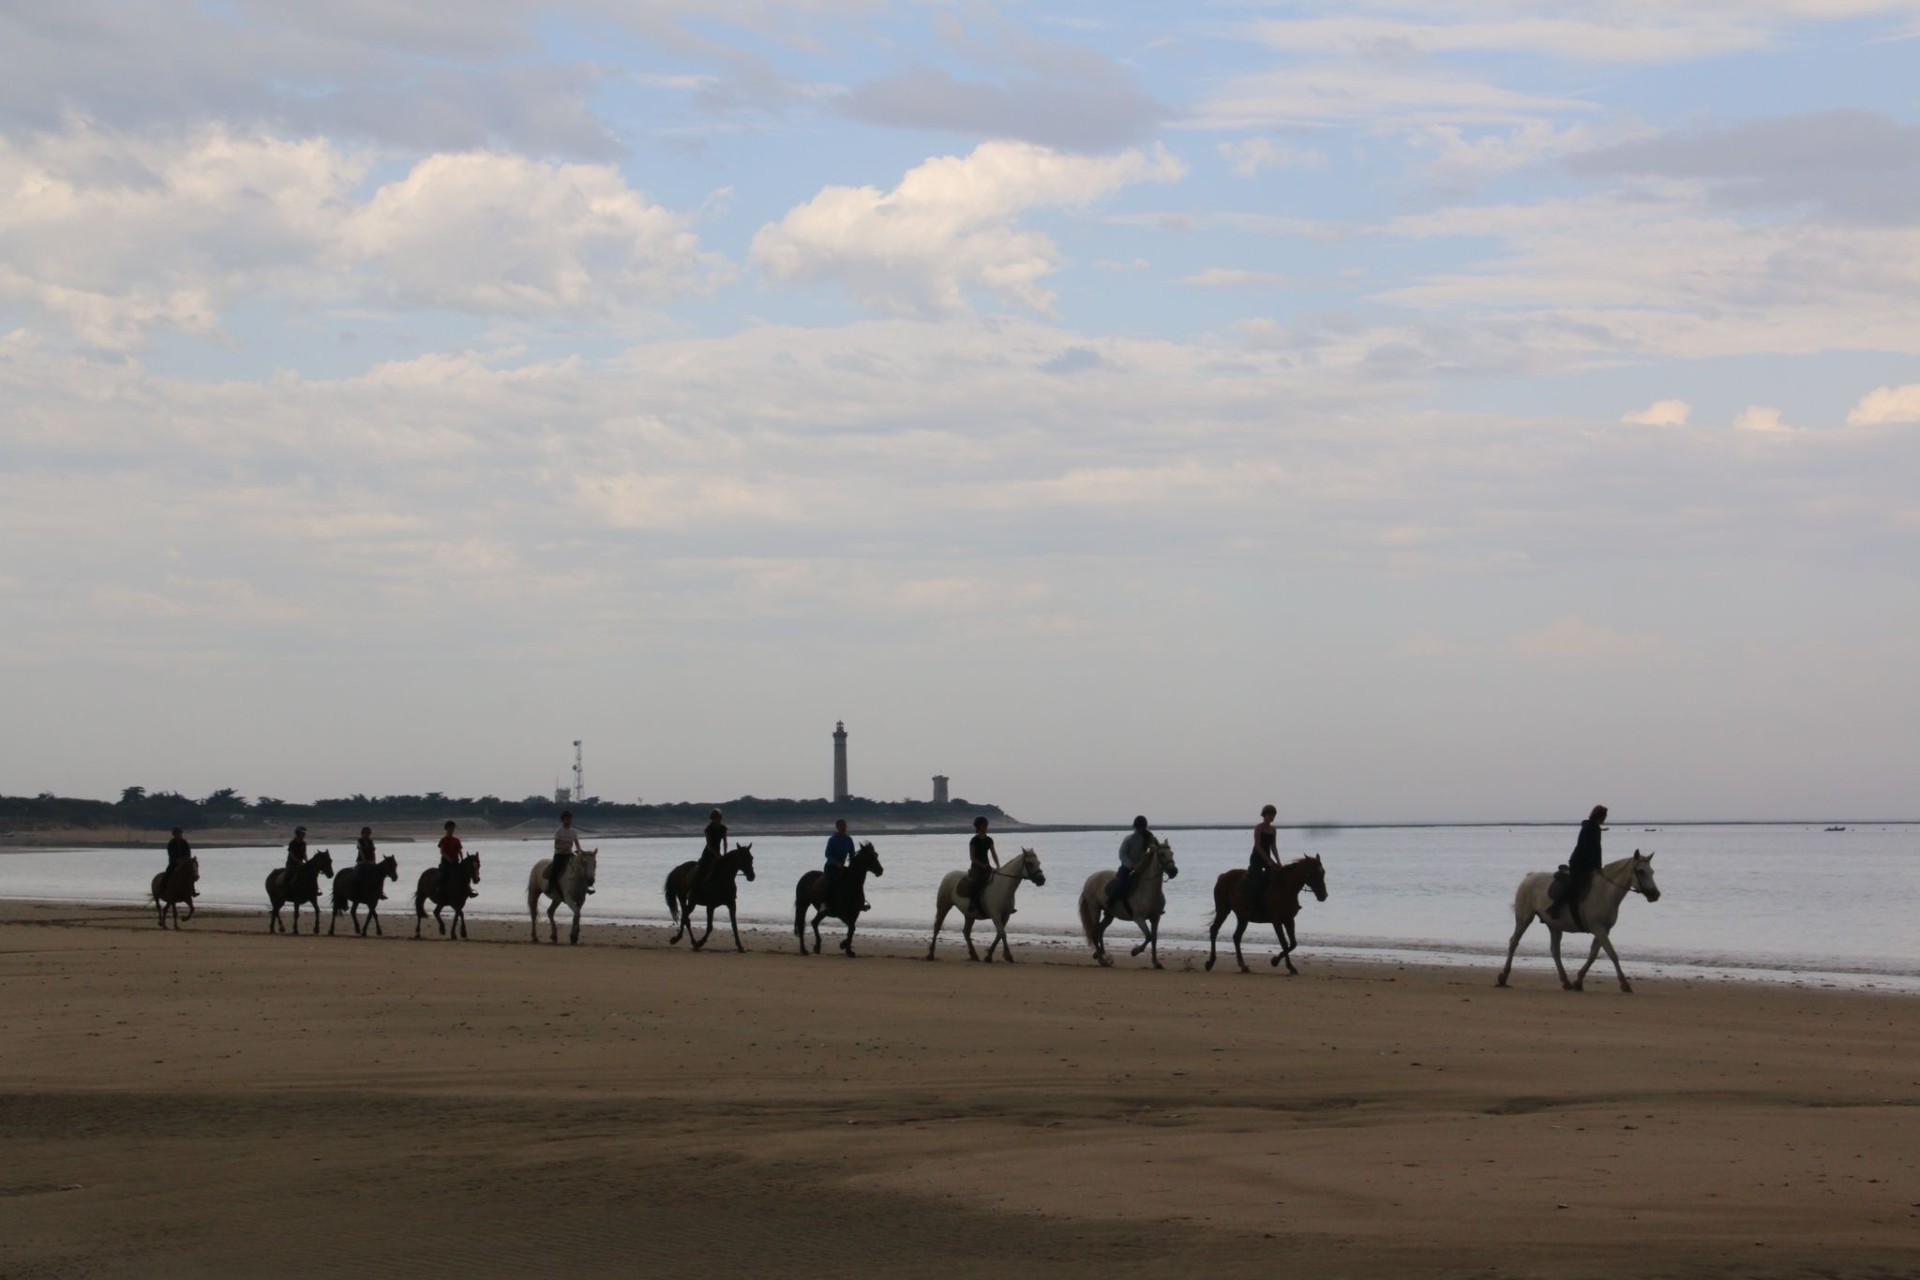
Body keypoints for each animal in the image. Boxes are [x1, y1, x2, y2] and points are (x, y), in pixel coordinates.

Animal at [1075, 840, 1175, 971]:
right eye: (1162, 854)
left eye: (1172, 853)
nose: (1174, 871)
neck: (1149, 889)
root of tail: (1091, 878)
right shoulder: (1139, 918)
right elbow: (1148, 936)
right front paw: (1135, 951)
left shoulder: (1155, 918)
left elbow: (1154, 939)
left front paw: (1156, 963)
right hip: (1094, 909)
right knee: (1095, 931)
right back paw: (1102, 959)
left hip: (1109, 915)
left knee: (1100, 930)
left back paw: (1102, 955)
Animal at [1489, 855, 1658, 997]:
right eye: (1641, 871)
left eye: (1652, 871)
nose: (1655, 894)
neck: (1604, 891)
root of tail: (1529, 877)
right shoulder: (1599, 929)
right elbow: (1612, 954)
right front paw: (1624, 984)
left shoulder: (1604, 930)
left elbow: (1593, 955)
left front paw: (1578, 981)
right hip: (1524, 919)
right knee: (1514, 942)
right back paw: (1503, 977)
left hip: (1554, 925)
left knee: (1555, 950)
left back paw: (1566, 981)